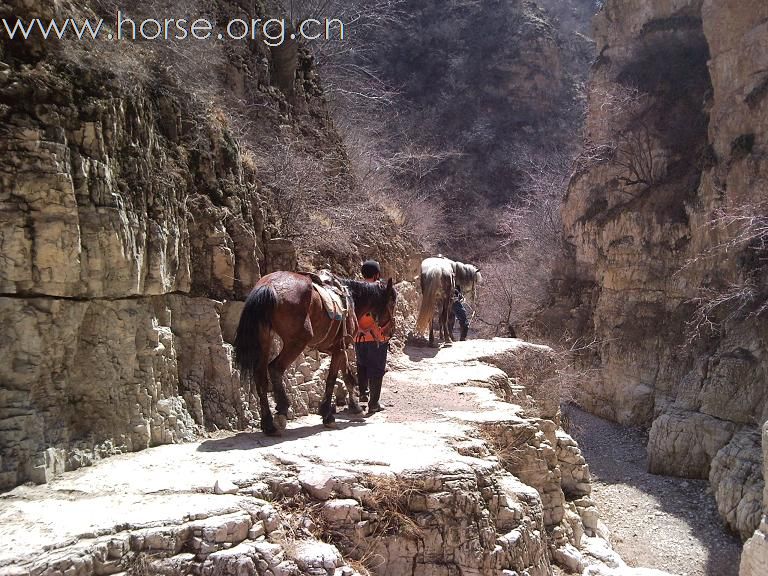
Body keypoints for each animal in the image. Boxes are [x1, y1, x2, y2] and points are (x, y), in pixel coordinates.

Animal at [232, 272, 396, 434]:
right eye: (393, 302)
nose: (390, 331)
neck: (352, 300)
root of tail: (269, 285)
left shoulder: (341, 347)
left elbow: (348, 376)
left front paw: (355, 407)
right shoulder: (339, 348)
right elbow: (332, 379)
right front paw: (327, 415)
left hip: (265, 339)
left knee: (260, 377)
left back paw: (268, 424)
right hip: (297, 341)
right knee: (275, 368)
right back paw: (282, 411)